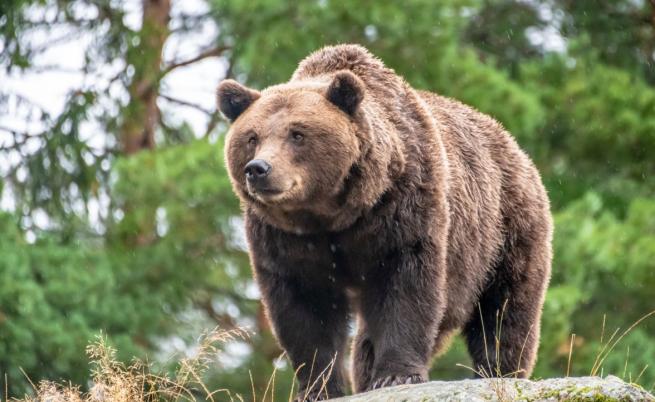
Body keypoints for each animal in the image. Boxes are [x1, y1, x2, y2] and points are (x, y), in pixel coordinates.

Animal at [217, 42, 552, 400]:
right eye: (252, 137)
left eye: (297, 133)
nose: (258, 169)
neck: (332, 215)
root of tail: (512, 143)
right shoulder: (285, 239)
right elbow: (304, 306)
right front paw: (318, 387)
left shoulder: (402, 209)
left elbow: (406, 287)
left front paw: (396, 375)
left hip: (504, 231)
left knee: (505, 308)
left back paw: (499, 371)